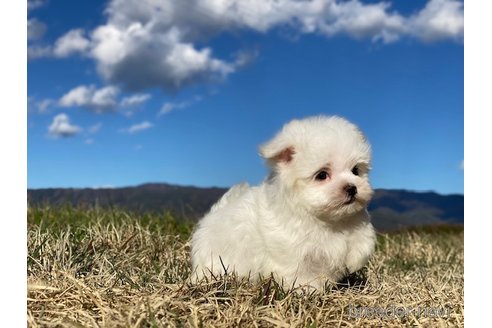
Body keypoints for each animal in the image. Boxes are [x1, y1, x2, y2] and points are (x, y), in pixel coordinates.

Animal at [190, 115, 374, 290]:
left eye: (356, 170)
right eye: (322, 175)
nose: (352, 188)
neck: (328, 220)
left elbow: (362, 241)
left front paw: (354, 260)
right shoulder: (294, 251)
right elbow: (301, 273)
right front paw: (307, 291)